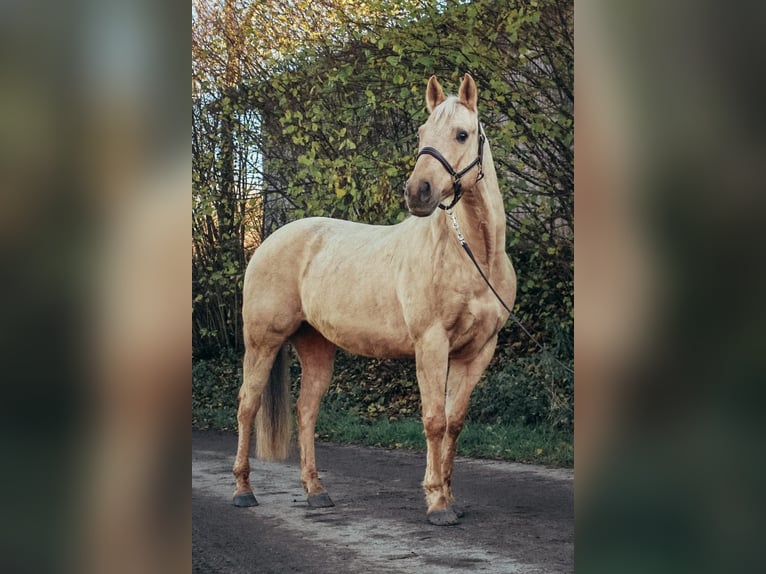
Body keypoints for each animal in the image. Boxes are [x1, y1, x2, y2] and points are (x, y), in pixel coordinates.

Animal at [234, 73, 520, 528]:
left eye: (462, 134)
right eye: (421, 133)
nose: (418, 192)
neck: (473, 255)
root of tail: (268, 242)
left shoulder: (477, 352)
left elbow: (454, 423)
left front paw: (449, 495)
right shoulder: (431, 344)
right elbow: (434, 420)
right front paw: (437, 503)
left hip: (316, 347)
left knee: (306, 411)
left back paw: (316, 492)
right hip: (262, 341)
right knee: (247, 405)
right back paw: (243, 491)